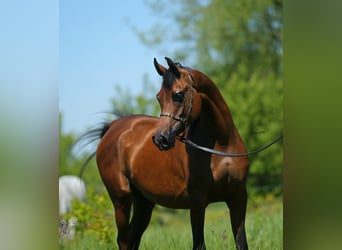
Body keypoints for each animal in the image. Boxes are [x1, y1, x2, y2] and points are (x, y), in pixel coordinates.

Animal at [93, 57, 248, 249]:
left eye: (179, 95)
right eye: (158, 97)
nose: (160, 139)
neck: (222, 146)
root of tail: (113, 127)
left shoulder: (238, 199)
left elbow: (241, 243)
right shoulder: (197, 204)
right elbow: (199, 244)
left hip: (143, 203)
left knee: (133, 238)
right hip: (120, 200)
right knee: (123, 240)